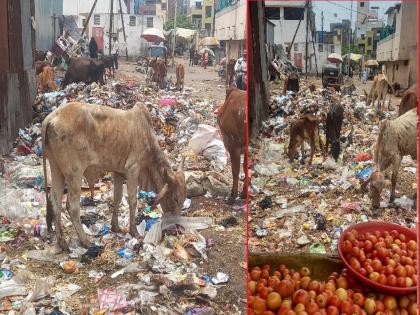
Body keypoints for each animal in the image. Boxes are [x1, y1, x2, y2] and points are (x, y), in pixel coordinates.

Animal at [42, 102, 185, 251]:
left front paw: (115, 227)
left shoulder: (118, 172)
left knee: (55, 202)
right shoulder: (132, 169)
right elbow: (132, 200)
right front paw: (134, 231)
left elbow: (117, 198)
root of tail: (52, 116)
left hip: (56, 168)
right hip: (74, 173)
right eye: (175, 198)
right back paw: (85, 241)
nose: (176, 226)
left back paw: (62, 242)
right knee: (72, 206)